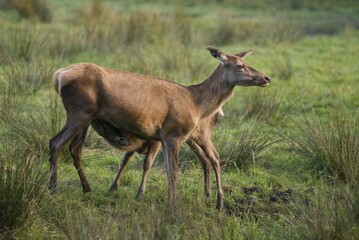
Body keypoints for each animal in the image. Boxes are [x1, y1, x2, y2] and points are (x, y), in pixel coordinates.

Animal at [50, 46, 270, 208]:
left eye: (247, 63)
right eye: (240, 65)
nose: (266, 78)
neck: (196, 103)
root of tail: (58, 76)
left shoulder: (162, 137)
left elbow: (162, 167)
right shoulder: (173, 134)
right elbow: (173, 171)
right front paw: (172, 205)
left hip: (86, 118)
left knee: (74, 149)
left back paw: (87, 189)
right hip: (79, 111)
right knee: (56, 143)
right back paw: (53, 189)